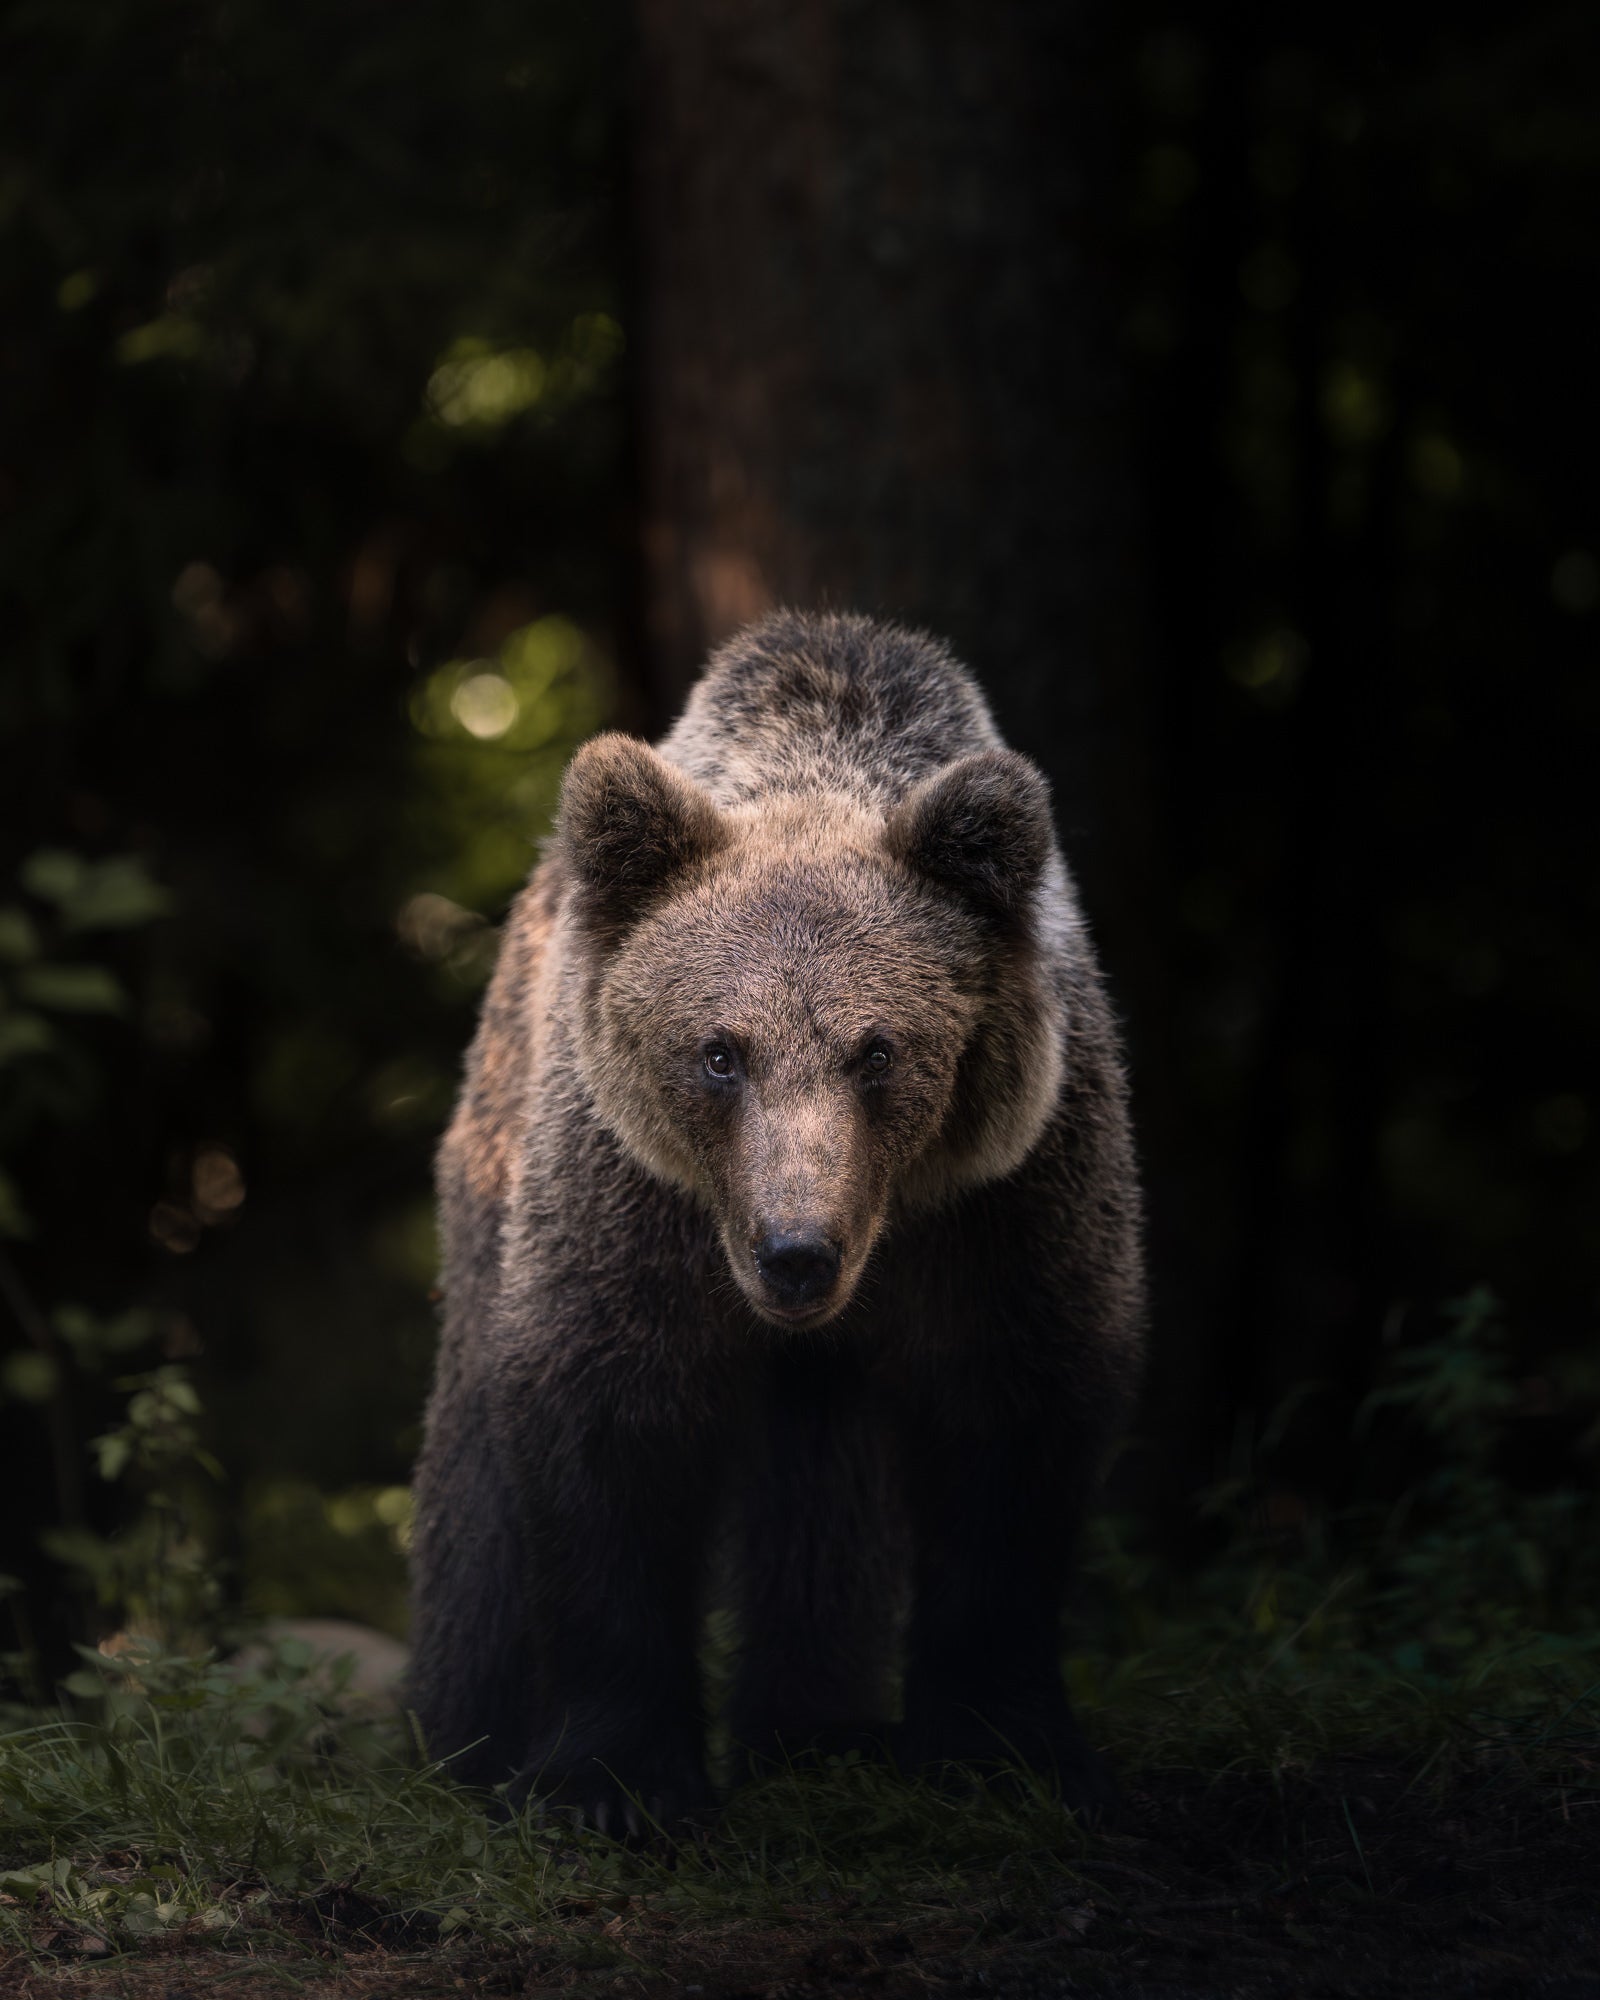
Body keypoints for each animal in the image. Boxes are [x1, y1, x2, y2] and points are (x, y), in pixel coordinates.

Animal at [408, 609, 1145, 1835]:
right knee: (473, 1458)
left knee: (823, 1496)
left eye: (878, 1050)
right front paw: (606, 1783)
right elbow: (603, 1430)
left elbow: (1008, 1439)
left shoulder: (1007, 1205)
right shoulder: (635, 1205)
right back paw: (457, 1736)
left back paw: (815, 1731)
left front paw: (1001, 1749)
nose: (795, 1253)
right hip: (496, 1154)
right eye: (719, 1051)